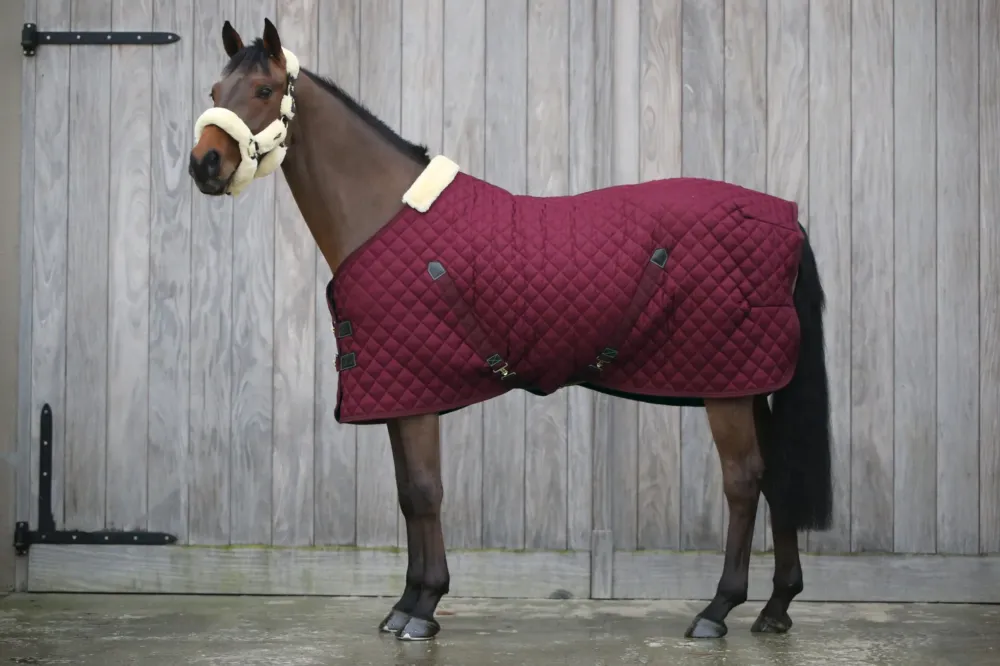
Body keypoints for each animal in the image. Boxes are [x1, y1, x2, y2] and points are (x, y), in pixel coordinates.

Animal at [188, 18, 833, 642]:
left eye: (264, 90)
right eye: (215, 92)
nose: (204, 165)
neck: (385, 213)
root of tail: (784, 216)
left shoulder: (418, 394)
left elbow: (425, 491)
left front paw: (424, 608)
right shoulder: (398, 393)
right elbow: (407, 495)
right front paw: (405, 604)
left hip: (728, 389)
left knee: (744, 482)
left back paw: (717, 610)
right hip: (750, 383)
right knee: (777, 477)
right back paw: (776, 608)